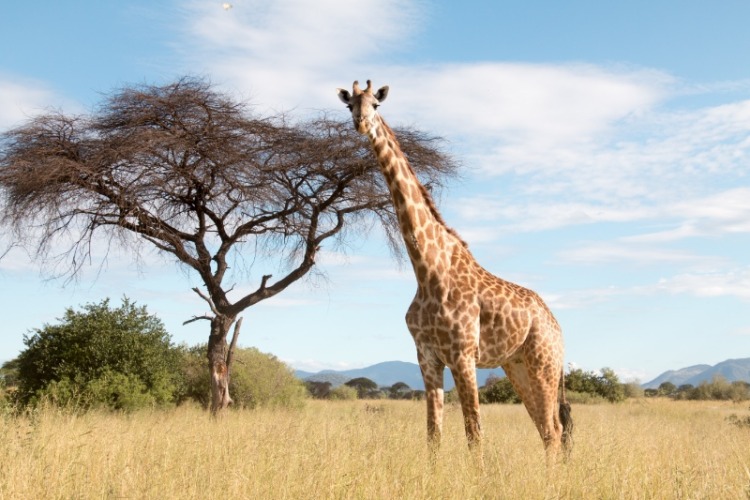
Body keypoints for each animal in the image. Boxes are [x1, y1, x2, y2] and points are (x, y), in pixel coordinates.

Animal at [338, 80, 572, 458]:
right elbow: (433, 435)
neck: (427, 271)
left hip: (544, 364)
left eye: (376, 103)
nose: (361, 123)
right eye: (349, 106)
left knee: (553, 429)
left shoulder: (463, 356)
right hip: (517, 365)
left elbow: (474, 434)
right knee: (547, 429)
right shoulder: (427, 357)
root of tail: (557, 327)